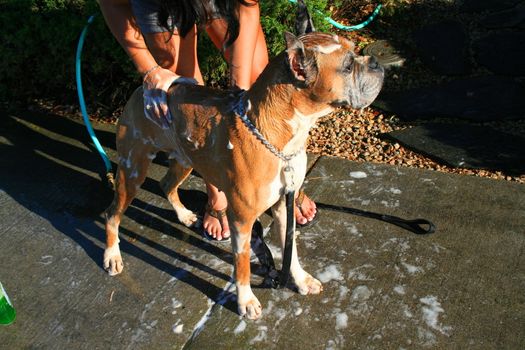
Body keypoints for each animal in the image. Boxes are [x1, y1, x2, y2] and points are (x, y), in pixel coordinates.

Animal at [102, 6, 382, 322]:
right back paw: (112, 255)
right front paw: (245, 300)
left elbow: (291, 251)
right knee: (112, 214)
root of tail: (142, 90)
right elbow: (243, 265)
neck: (277, 135)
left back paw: (184, 215)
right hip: (132, 171)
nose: (376, 63)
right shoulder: (242, 221)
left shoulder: (283, 206)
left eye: (355, 52)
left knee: (165, 183)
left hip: (185, 159)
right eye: (347, 67)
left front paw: (300, 279)